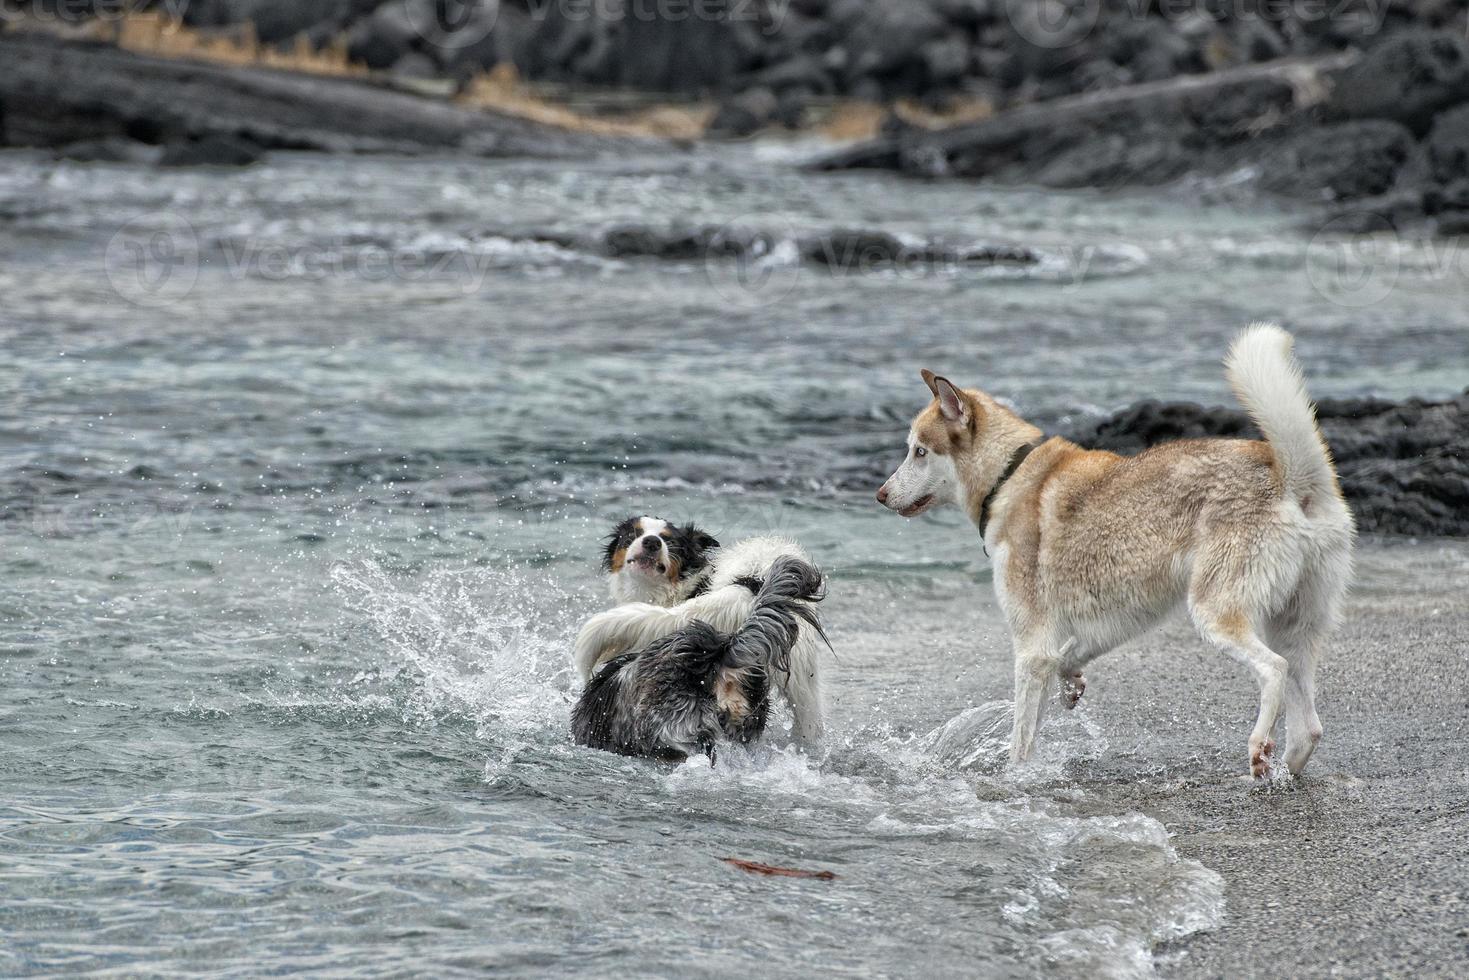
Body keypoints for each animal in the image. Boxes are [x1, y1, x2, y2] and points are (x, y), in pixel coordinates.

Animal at [869, 326, 1351, 775]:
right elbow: (1066, 662)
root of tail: (1289, 476)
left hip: (1217, 613)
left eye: (919, 451)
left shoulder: (1031, 648)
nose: (880, 495)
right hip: (1294, 625)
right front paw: (1071, 685)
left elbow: (1021, 741)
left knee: (1273, 670)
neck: (1009, 475)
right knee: (1308, 727)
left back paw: (1258, 748)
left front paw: (1015, 777)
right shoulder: (1109, 621)